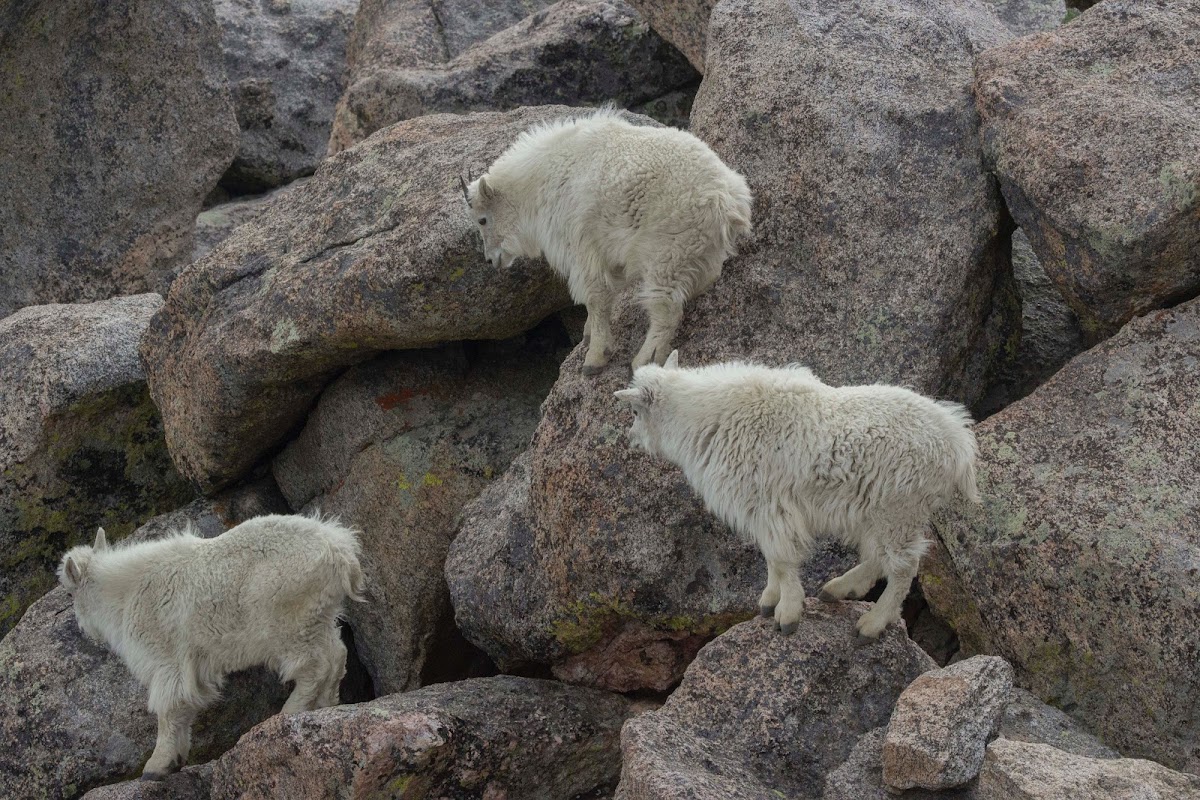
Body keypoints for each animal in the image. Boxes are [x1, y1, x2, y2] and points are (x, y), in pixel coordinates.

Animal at [57, 513, 364, 782]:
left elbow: (169, 708)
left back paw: (290, 711)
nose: (83, 628)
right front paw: (177, 760)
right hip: (317, 616)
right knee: (336, 655)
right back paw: (327, 703)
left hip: (289, 620)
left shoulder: (165, 659)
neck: (125, 592)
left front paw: (157, 766)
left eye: (70, 593)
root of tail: (341, 553)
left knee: (314, 665)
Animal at [460, 107, 748, 379]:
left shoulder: (581, 247)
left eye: (482, 219)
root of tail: (726, 199)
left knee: (666, 310)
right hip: (700, 250)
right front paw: (588, 335)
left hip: (667, 252)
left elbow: (595, 297)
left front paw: (595, 358)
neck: (542, 179)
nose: (491, 259)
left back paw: (643, 360)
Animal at [614, 352, 979, 642]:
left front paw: (787, 615)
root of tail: (958, 444)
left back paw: (871, 624)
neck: (705, 419)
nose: (631, 439)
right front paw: (768, 601)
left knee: (903, 567)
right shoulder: (761, 510)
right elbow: (771, 556)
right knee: (879, 555)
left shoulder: (770, 505)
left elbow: (781, 557)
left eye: (635, 412)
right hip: (877, 512)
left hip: (899, 508)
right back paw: (839, 589)